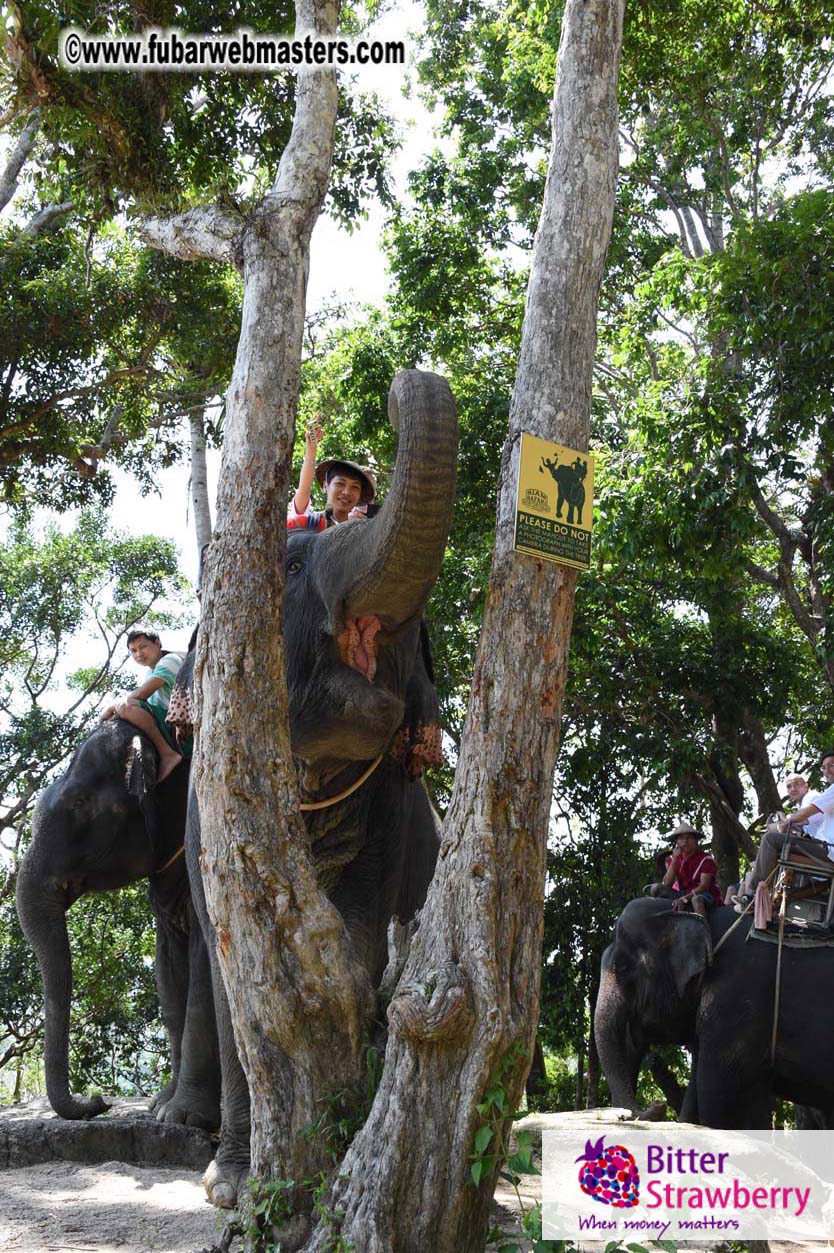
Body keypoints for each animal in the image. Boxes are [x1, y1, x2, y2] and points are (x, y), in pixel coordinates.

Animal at [15, 718, 221, 1127]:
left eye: (80, 803)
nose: (99, 1101)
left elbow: (206, 955)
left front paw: (182, 1118)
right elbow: (168, 968)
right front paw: (161, 1107)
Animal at [163, 368, 459, 1207]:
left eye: (412, 637)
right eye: (292, 570)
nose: (403, 384)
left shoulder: (389, 802)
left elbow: (357, 937)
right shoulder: (205, 807)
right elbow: (231, 967)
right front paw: (230, 1181)